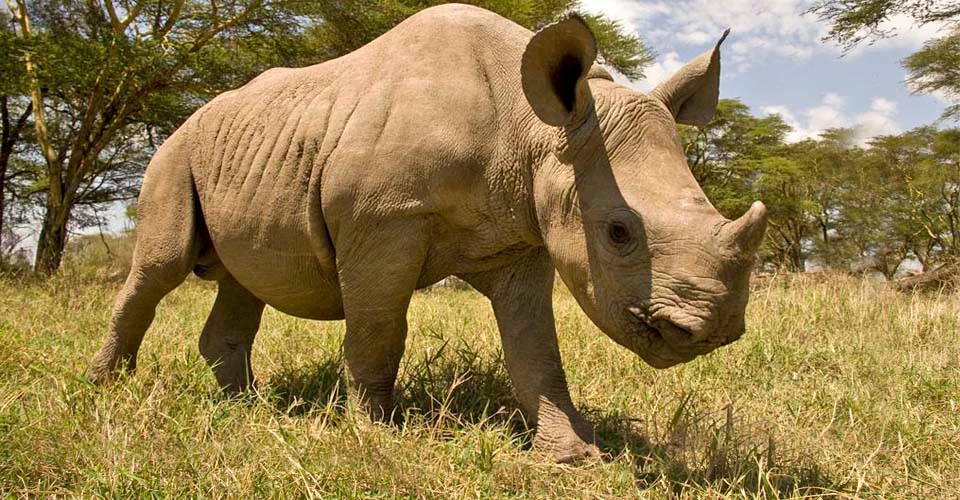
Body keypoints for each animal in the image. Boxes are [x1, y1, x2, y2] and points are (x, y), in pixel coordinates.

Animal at [87, 4, 767, 462]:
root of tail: (196, 113)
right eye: (619, 233)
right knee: (161, 267)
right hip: (175, 151)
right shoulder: (383, 217)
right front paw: (373, 436)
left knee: (244, 279)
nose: (712, 331)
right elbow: (378, 333)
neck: (533, 130)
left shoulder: (523, 235)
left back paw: (244, 407)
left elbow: (536, 351)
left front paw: (572, 456)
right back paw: (106, 390)